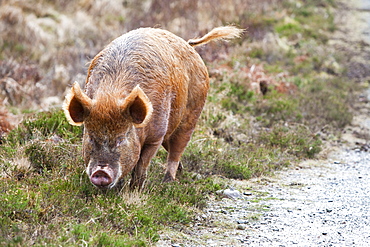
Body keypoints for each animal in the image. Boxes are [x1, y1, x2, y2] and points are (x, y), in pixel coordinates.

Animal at [63, 26, 243, 189]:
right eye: (91, 137)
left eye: (122, 138)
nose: (101, 172)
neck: (111, 96)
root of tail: (188, 45)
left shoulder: (155, 136)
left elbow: (142, 164)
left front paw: (135, 190)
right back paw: (181, 173)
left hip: (191, 114)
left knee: (177, 150)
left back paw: (168, 182)